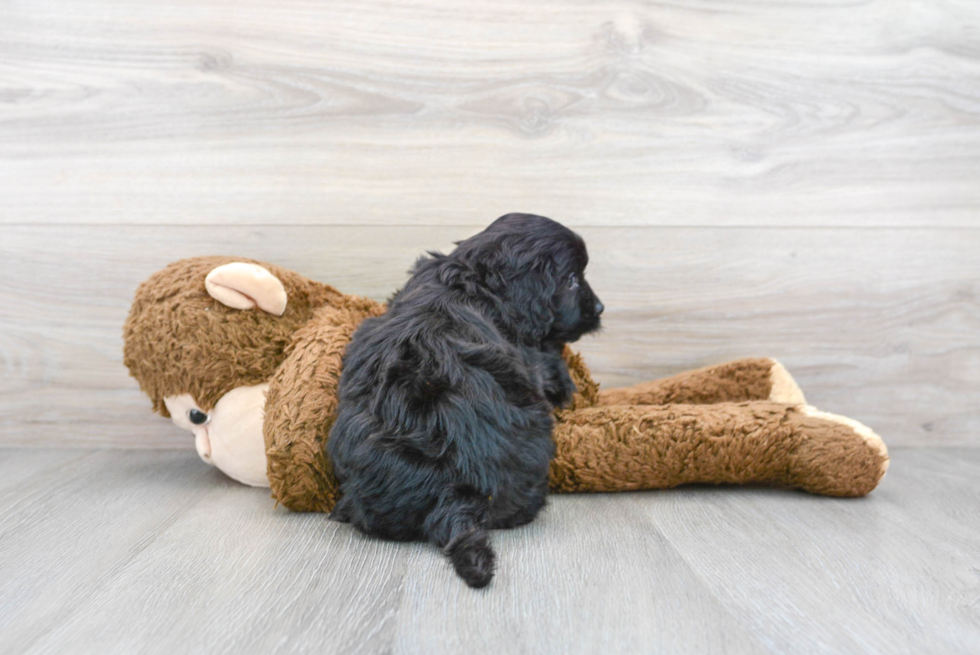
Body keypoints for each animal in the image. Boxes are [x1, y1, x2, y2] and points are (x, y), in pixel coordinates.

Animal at [330, 214, 600, 588]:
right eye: (573, 280)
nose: (600, 308)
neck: (473, 275)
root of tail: (456, 490)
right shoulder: (535, 357)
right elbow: (551, 362)